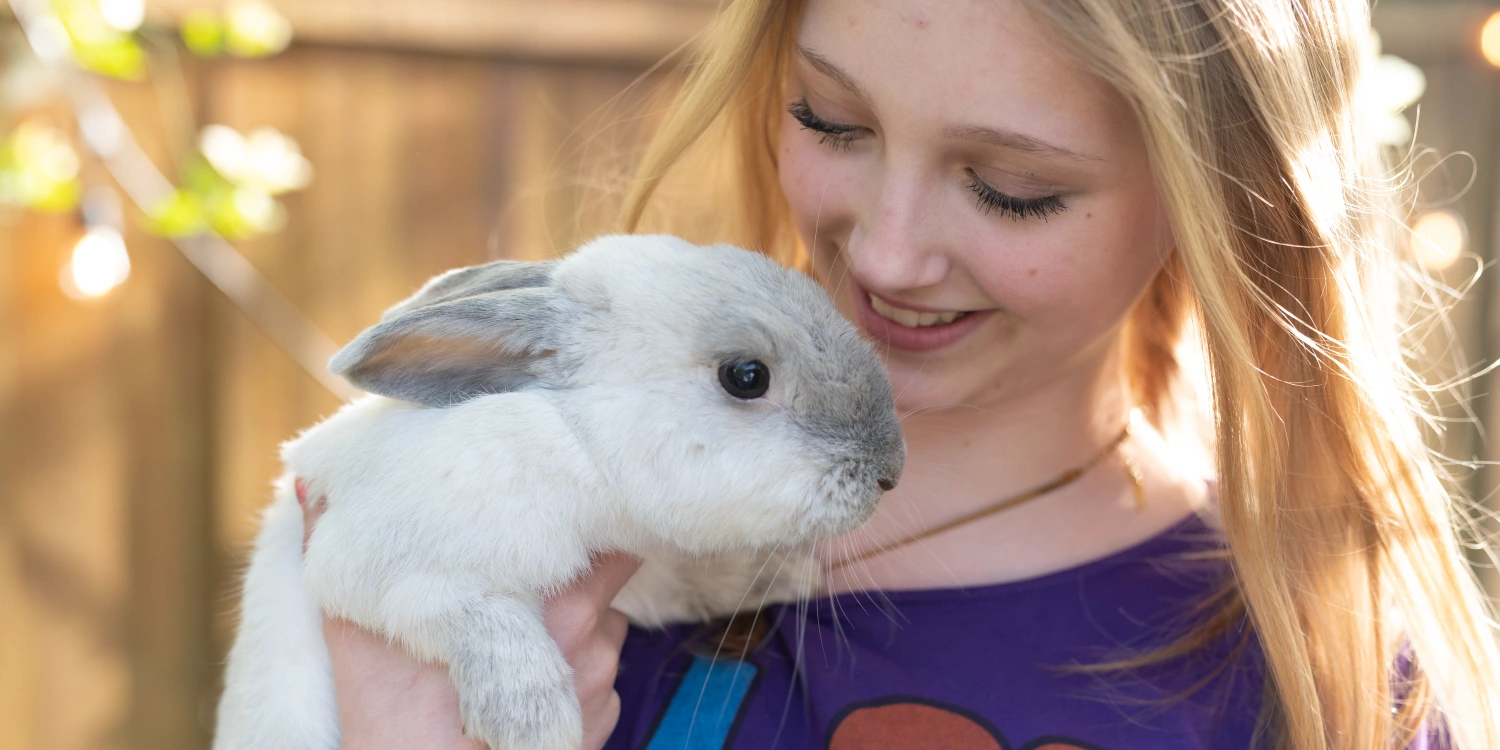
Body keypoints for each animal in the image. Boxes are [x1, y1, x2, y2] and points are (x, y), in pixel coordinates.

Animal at [213, 234, 906, 750]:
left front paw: (789, 577)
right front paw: (534, 721)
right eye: (745, 376)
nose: (890, 471)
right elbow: (475, 617)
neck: (578, 447)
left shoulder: (647, 579)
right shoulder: (378, 563)